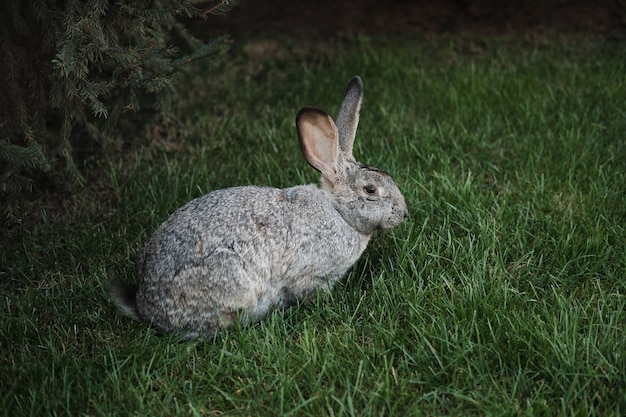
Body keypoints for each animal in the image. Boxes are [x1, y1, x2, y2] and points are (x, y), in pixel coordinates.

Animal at [109, 76, 408, 340]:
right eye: (371, 190)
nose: (404, 213)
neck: (338, 213)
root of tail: (147, 307)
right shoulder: (310, 274)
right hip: (230, 280)